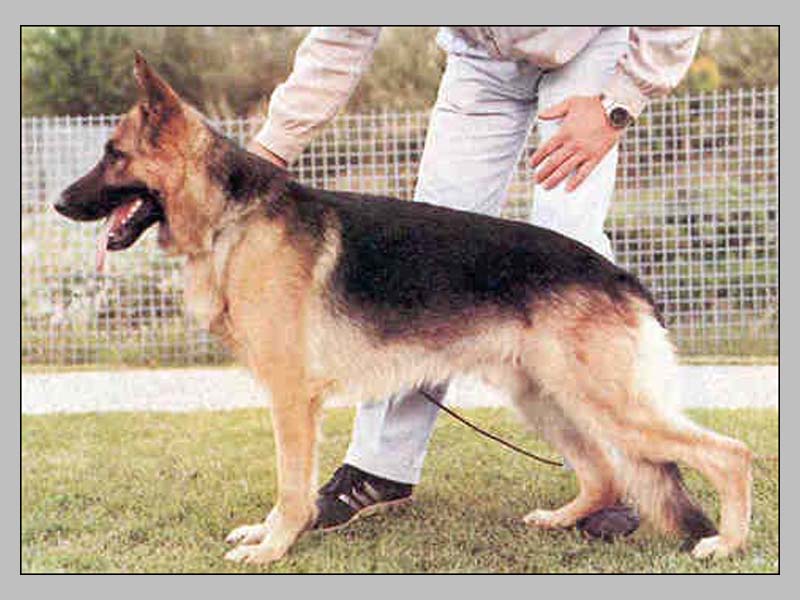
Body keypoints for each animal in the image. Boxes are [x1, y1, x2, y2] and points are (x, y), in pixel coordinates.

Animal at [55, 53, 752, 565]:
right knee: (606, 474)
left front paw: (275, 545)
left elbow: (290, 484)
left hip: (605, 405)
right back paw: (562, 519)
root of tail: (623, 277)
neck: (232, 218)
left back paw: (727, 543)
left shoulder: (291, 399)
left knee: (729, 454)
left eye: (113, 154)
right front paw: (269, 533)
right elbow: (291, 483)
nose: (58, 204)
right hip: (547, 400)